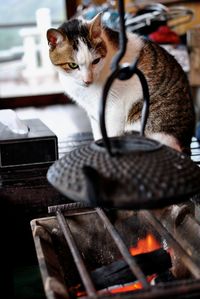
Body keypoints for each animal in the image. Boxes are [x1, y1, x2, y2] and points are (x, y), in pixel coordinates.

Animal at [46, 12, 195, 154]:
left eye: (95, 61)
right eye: (73, 65)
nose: (87, 80)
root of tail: (185, 144)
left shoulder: (115, 107)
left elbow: (111, 134)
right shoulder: (93, 112)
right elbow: (98, 134)